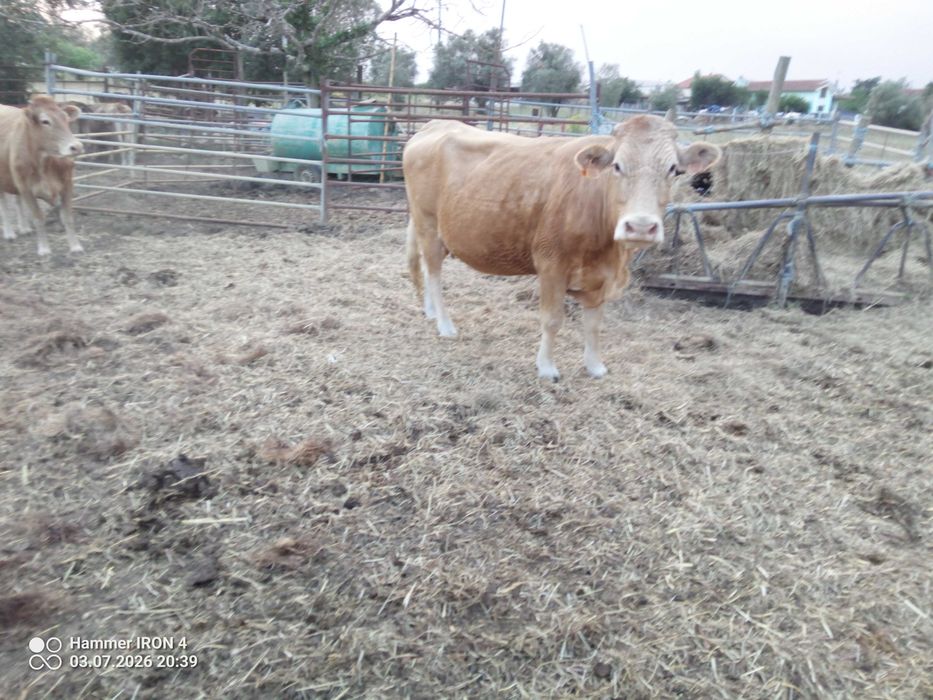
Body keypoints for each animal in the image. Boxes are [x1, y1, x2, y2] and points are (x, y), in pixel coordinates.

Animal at [0, 95, 84, 255]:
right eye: (45, 121)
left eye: (65, 118)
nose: (76, 147)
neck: (45, 163)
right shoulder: (26, 189)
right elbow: (38, 217)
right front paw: (44, 249)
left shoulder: (67, 184)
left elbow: (67, 217)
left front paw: (75, 247)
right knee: (4, 204)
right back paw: (9, 233)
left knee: (17, 200)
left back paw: (24, 228)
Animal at [403, 115, 721, 380]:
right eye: (617, 166)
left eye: (674, 169)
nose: (641, 226)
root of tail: (436, 124)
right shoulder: (551, 264)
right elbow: (552, 320)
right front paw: (546, 368)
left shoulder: (600, 277)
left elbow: (593, 324)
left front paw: (594, 366)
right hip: (428, 224)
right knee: (434, 274)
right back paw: (445, 325)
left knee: (424, 268)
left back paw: (430, 312)